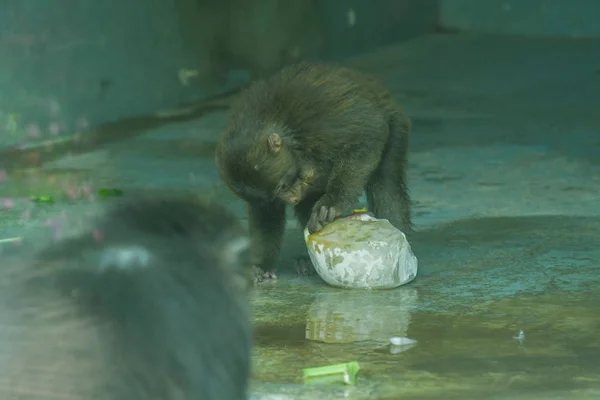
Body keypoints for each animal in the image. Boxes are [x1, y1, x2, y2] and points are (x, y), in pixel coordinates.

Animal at [216, 62, 412, 282]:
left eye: (283, 185)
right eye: (276, 194)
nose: (292, 198)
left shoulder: (318, 125)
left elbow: (368, 133)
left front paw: (332, 201)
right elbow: (266, 216)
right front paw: (261, 264)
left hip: (396, 123)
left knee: (387, 182)